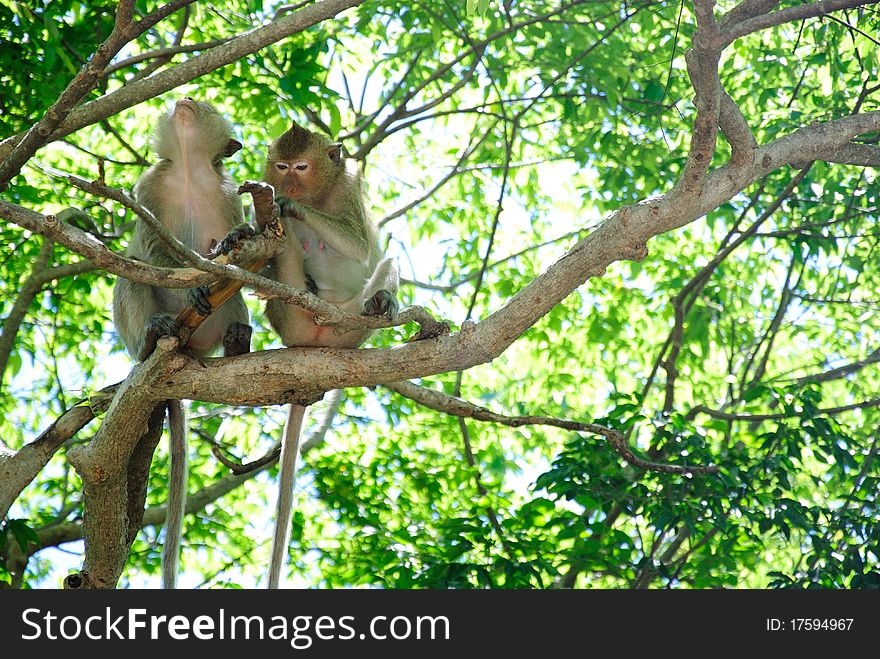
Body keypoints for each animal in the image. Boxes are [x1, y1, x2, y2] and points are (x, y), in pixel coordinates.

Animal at [112, 96, 251, 588]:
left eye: (206, 103)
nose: (186, 100)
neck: (191, 168)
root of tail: (189, 345)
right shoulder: (149, 185)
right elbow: (153, 248)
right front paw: (190, 281)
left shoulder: (229, 193)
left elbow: (239, 253)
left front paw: (237, 239)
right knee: (132, 271)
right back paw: (152, 338)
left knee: (235, 293)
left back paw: (237, 342)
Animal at [262, 121, 398, 592]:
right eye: (281, 166)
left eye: (300, 168)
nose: (286, 186)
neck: (317, 195)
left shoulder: (349, 189)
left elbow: (358, 245)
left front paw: (289, 205)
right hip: (287, 317)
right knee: (281, 259)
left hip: (353, 325)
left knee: (385, 263)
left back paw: (382, 304)